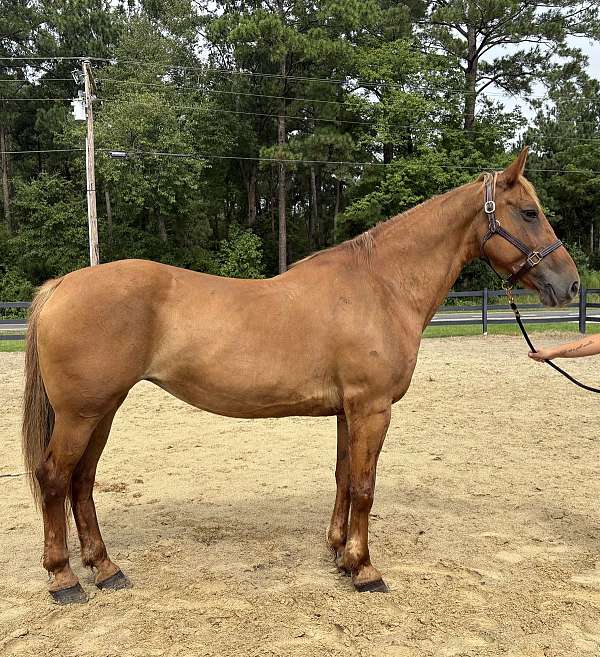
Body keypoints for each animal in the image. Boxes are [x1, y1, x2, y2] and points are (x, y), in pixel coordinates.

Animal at [22, 148, 579, 604]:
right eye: (529, 212)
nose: (571, 284)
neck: (381, 286)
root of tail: (61, 286)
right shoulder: (372, 407)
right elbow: (365, 486)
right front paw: (365, 569)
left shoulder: (348, 410)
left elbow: (343, 478)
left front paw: (339, 554)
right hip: (81, 413)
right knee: (54, 478)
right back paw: (64, 579)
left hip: (102, 410)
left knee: (82, 482)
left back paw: (105, 568)